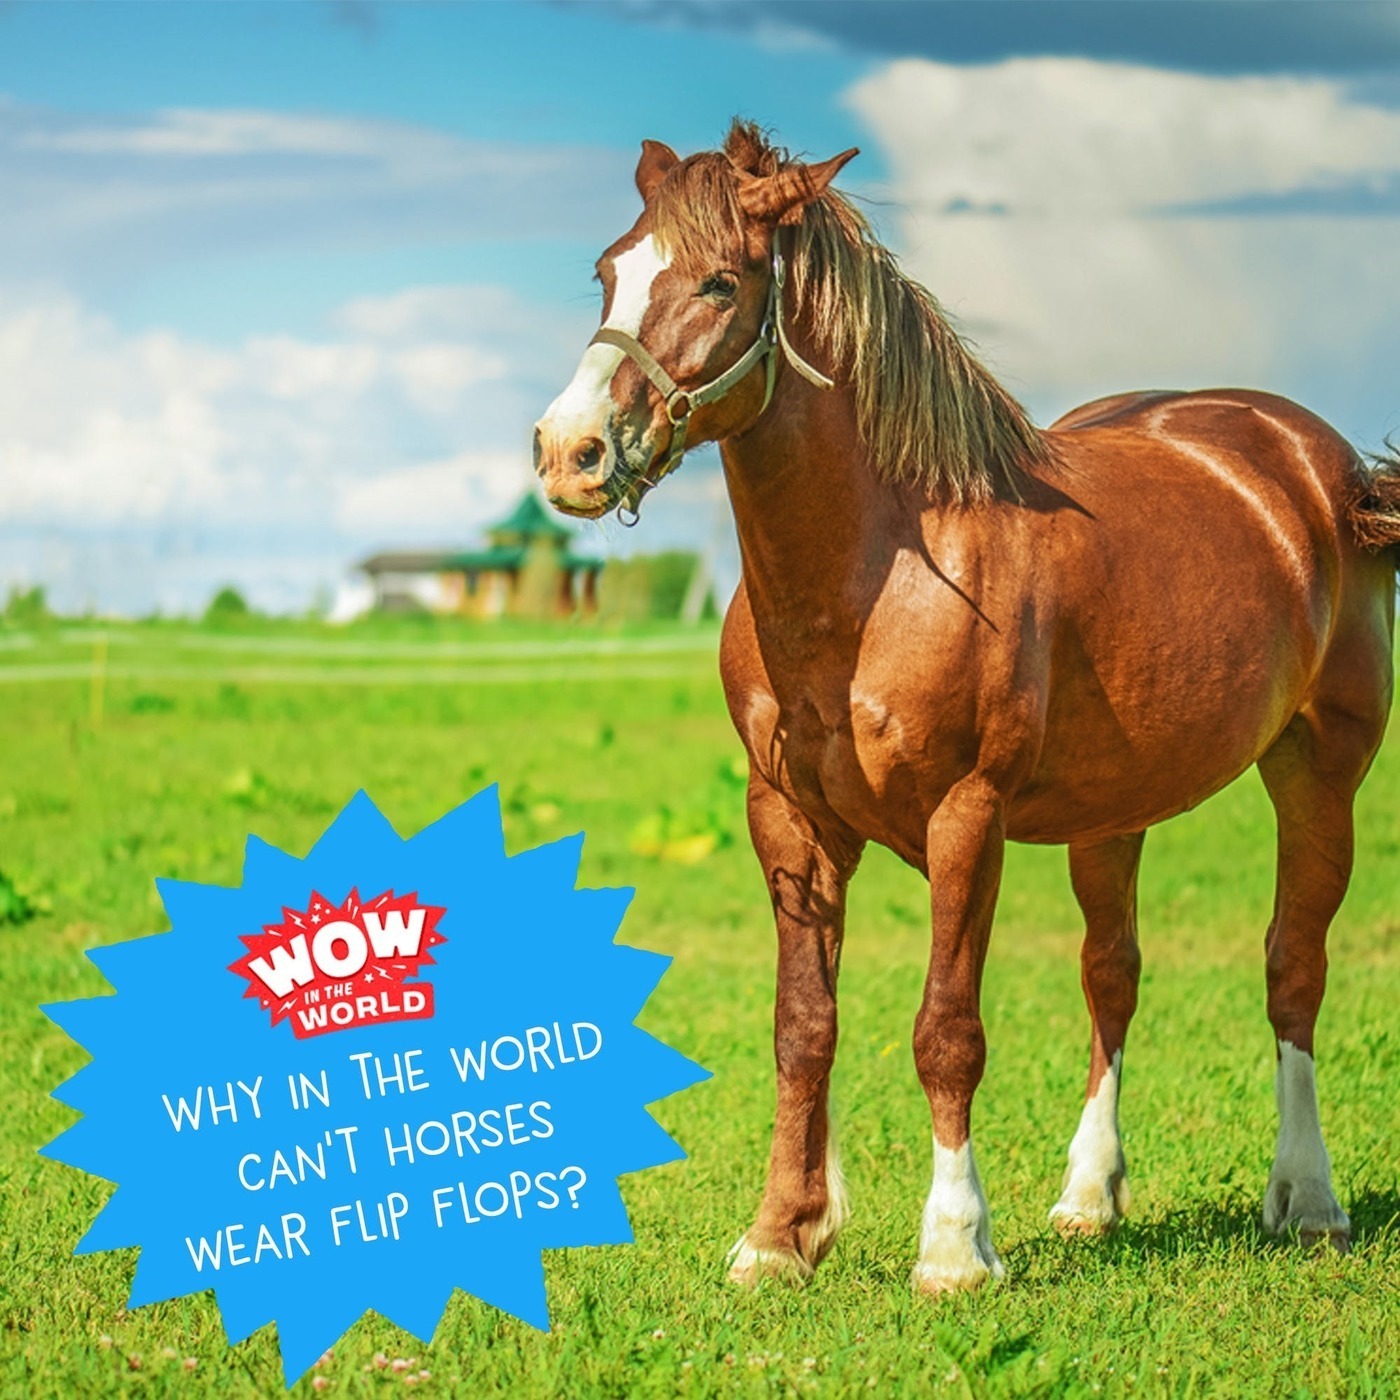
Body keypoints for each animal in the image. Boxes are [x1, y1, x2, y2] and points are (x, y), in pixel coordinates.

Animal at [533, 120, 1400, 1293]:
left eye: (719, 282)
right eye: (608, 272)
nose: (568, 451)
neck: (882, 566)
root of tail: (1321, 466)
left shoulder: (965, 816)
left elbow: (946, 1028)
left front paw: (952, 1245)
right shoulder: (788, 820)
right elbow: (802, 1024)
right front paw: (781, 1234)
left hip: (1319, 770)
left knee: (1292, 969)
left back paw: (1308, 1200)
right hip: (1110, 811)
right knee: (1111, 974)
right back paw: (1089, 1196)